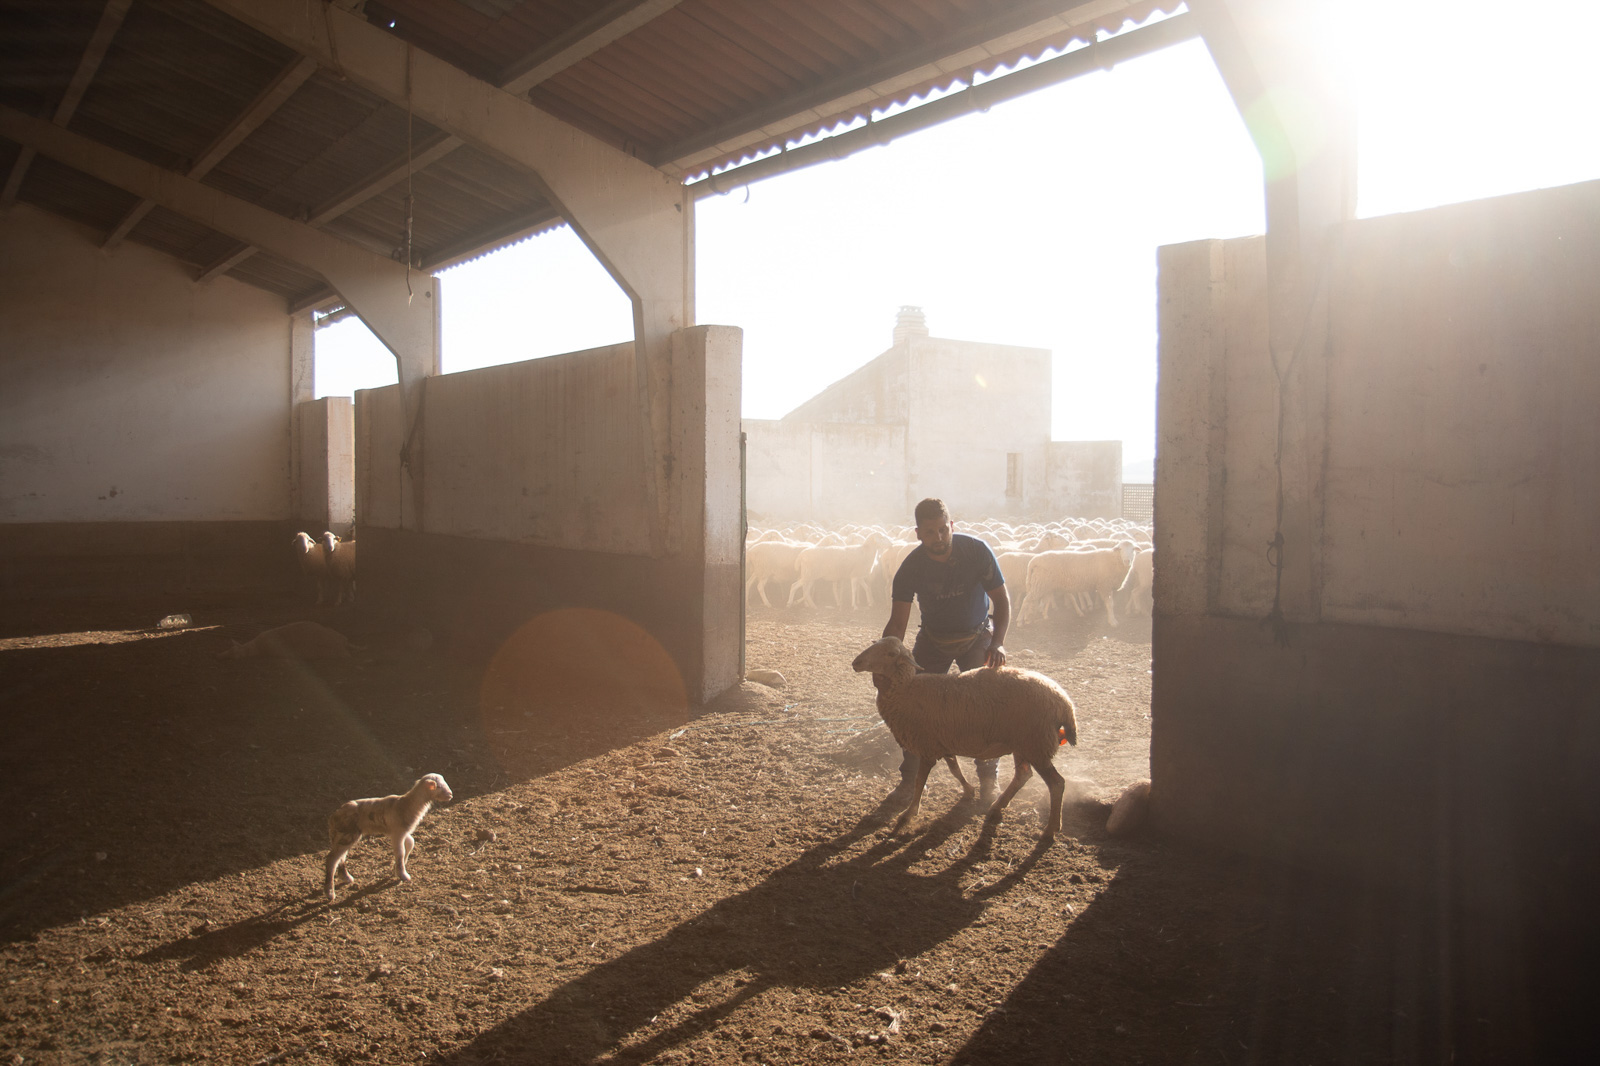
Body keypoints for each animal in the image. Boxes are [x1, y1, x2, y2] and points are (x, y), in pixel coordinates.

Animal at [323, 771, 454, 896]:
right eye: (439, 787)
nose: (451, 795)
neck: (406, 805)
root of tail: (332, 818)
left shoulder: (403, 832)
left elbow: (410, 843)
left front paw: (395, 869)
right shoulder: (397, 833)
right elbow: (400, 852)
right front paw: (403, 874)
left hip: (344, 836)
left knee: (340, 857)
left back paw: (346, 877)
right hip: (346, 835)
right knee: (331, 859)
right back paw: (330, 892)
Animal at [851, 633, 1075, 845]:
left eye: (891, 654)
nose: (856, 662)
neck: (906, 691)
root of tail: (1065, 703)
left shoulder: (927, 745)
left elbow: (919, 781)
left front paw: (908, 815)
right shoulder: (943, 743)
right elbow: (955, 770)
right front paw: (969, 790)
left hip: (1037, 744)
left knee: (1056, 783)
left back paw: (1050, 830)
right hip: (1024, 744)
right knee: (1023, 775)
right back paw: (997, 807)